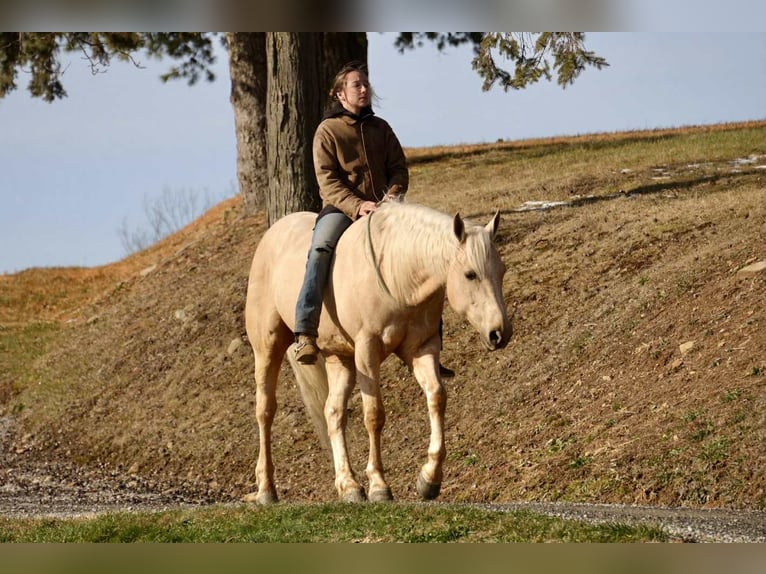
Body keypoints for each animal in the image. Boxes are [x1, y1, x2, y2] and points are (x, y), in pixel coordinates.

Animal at [243, 201, 511, 504]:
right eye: (470, 274)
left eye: (501, 271)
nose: (499, 333)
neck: (398, 270)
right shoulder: (367, 351)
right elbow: (374, 415)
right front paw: (379, 485)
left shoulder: (422, 348)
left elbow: (436, 397)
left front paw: (429, 478)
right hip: (267, 350)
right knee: (265, 411)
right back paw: (266, 489)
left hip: (340, 359)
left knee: (333, 412)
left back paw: (348, 485)